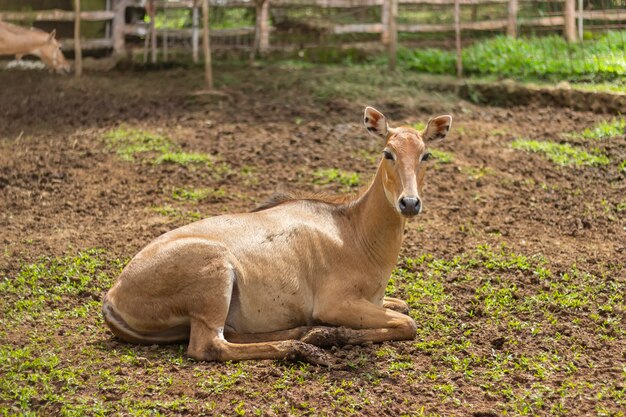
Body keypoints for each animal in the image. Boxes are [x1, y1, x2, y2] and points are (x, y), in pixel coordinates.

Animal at [105, 107, 450, 364]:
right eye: (388, 152)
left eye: (426, 155)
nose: (409, 203)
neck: (355, 231)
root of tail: (112, 296)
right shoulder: (335, 303)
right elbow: (408, 323)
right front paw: (334, 334)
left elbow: (403, 307)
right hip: (215, 279)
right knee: (209, 346)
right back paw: (303, 348)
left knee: (231, 334)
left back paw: (303, 333)